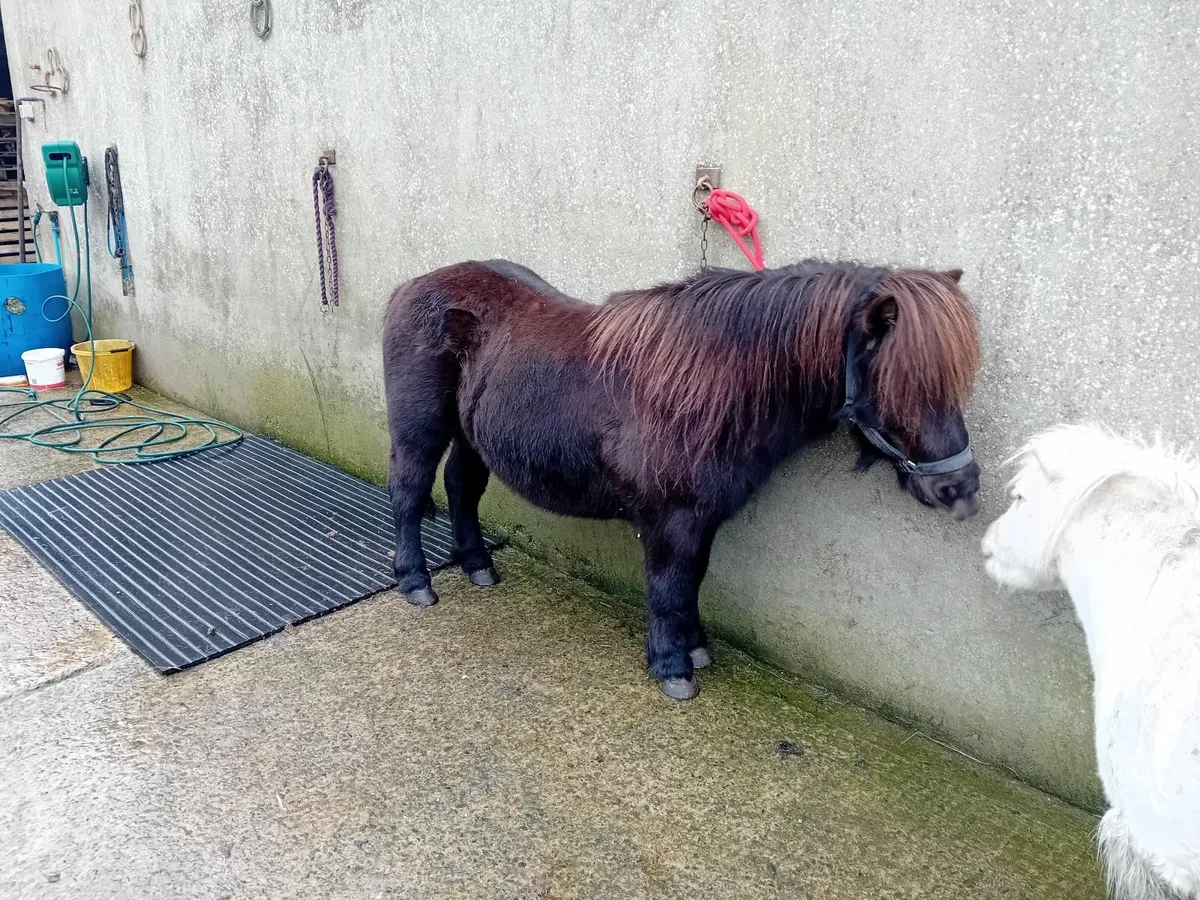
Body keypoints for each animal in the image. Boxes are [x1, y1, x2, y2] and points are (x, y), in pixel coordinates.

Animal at [383, 258, 983, 700]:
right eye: (905, 384)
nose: (962, 490)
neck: (707, 381)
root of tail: (413, 285)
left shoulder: (703, 516)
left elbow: (692, 580)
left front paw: (695, 647)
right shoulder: (670, 518)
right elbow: (668, 586)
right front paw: (673, 666)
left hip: (472, 435)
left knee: (462, 488)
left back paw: (477, 565)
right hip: (420, 430)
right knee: (410, 492)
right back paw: (416, 581)